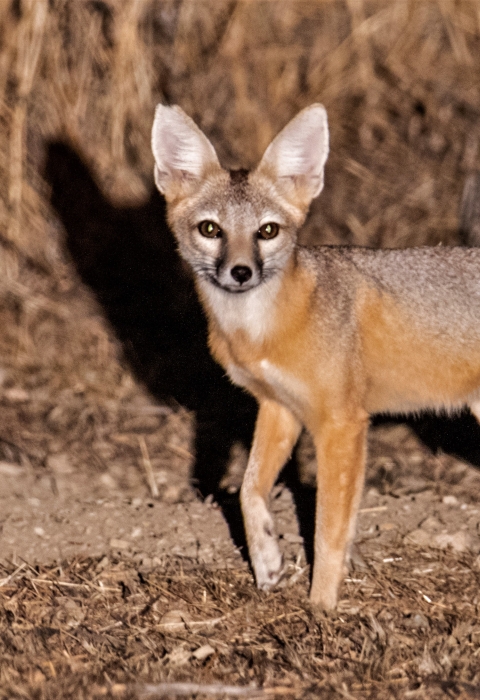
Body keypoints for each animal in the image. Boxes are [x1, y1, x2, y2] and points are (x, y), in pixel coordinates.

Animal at [151, 103, 480, 610]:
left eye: (267, 231)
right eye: (210, 230)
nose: (241, 272)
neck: (259, 330)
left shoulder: (341, 425)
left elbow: (329, 531)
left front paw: (321, 608)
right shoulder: (278, 408)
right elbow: (248, 490)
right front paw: (268, 563)